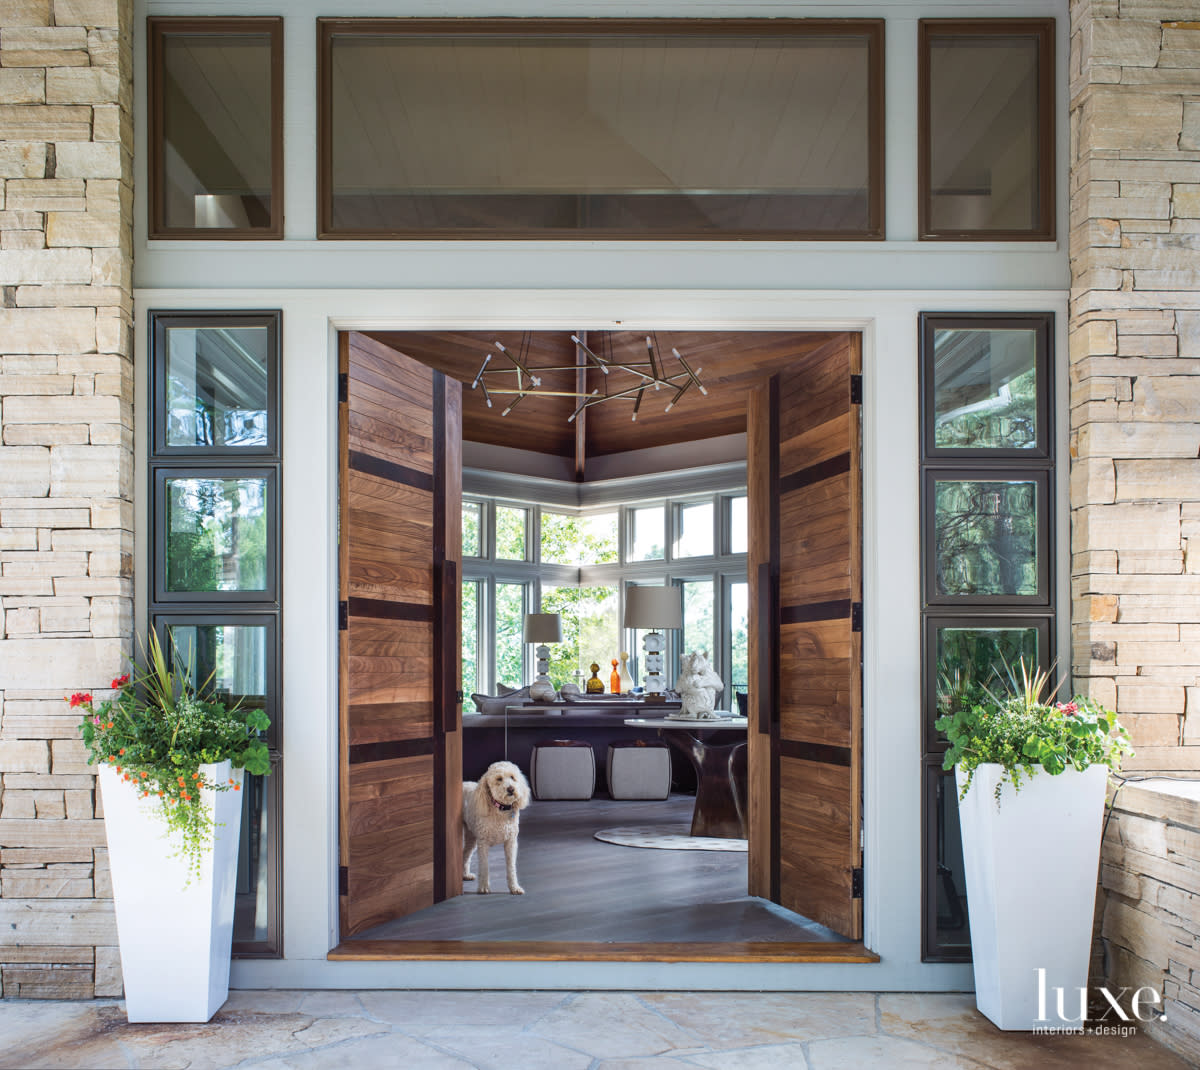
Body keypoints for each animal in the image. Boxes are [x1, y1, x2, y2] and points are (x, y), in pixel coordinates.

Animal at [463, 762, 530, 892]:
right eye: (499, 779)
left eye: (513, 777)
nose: (511, 789)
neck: (500, 809)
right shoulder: (483, 843)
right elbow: (484, 866)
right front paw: (484, 887)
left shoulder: (511, 843)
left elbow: (511, 867)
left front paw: (514, 887)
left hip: (471, 837)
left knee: (466, 854)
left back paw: (465, 875)